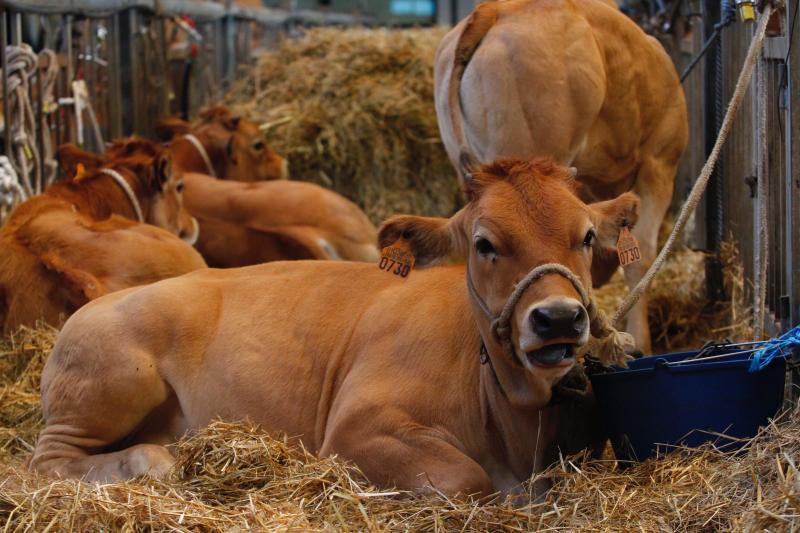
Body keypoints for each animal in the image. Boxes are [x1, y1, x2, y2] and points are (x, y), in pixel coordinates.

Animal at [31, 160, 636, 496]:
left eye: (586, 236)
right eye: (484, 243)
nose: (558, 317)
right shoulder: (355, 428)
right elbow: (467, 479)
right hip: (112, 383)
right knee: (46, 461)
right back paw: (149, 461)